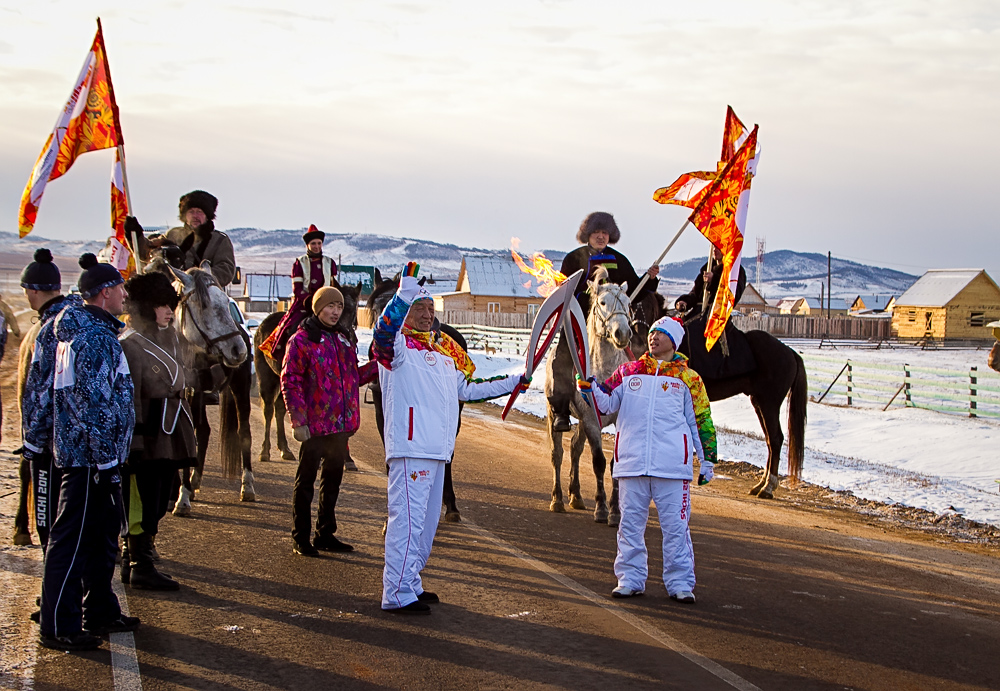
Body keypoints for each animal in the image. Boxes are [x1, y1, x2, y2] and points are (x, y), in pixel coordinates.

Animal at [548, 268, 632, 528]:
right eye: (602, 302)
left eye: (627, 302)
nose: (622, 333)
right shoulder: (592, 421)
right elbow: (599, 462)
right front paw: (602, 509)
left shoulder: (615, 421)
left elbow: (615, 465)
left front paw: (615, 512)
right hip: (554, 415)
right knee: (558, 454)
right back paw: (558, 499)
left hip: (583, 424)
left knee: (575, 448)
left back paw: (575, 495)